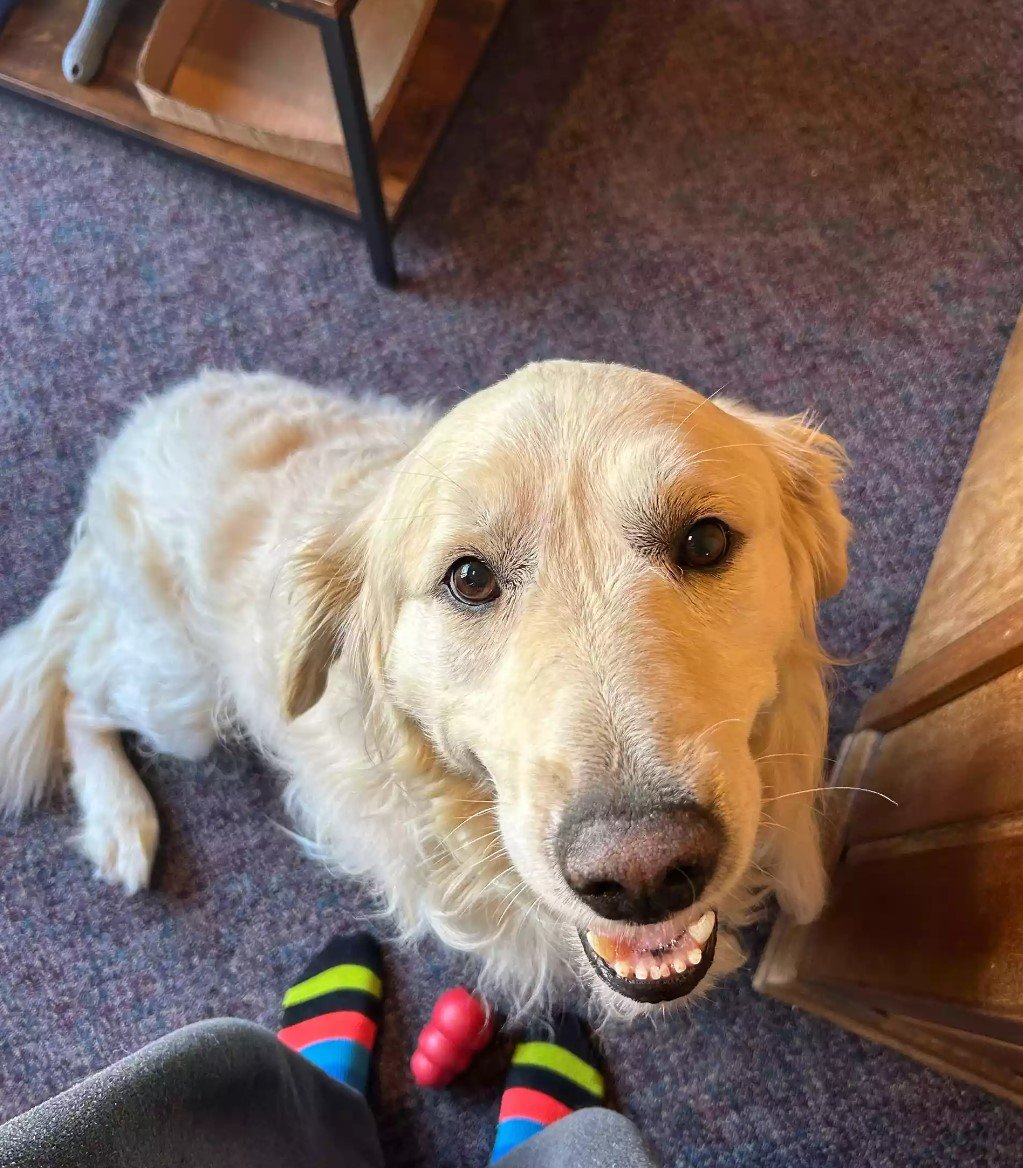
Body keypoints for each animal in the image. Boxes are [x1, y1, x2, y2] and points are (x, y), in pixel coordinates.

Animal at [0, 362, 845, 1013]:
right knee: (79, 678)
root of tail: (139, 428)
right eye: (468, 579)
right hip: (181, 701)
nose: (642, 873)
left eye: (704, 540)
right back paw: (120, 816)